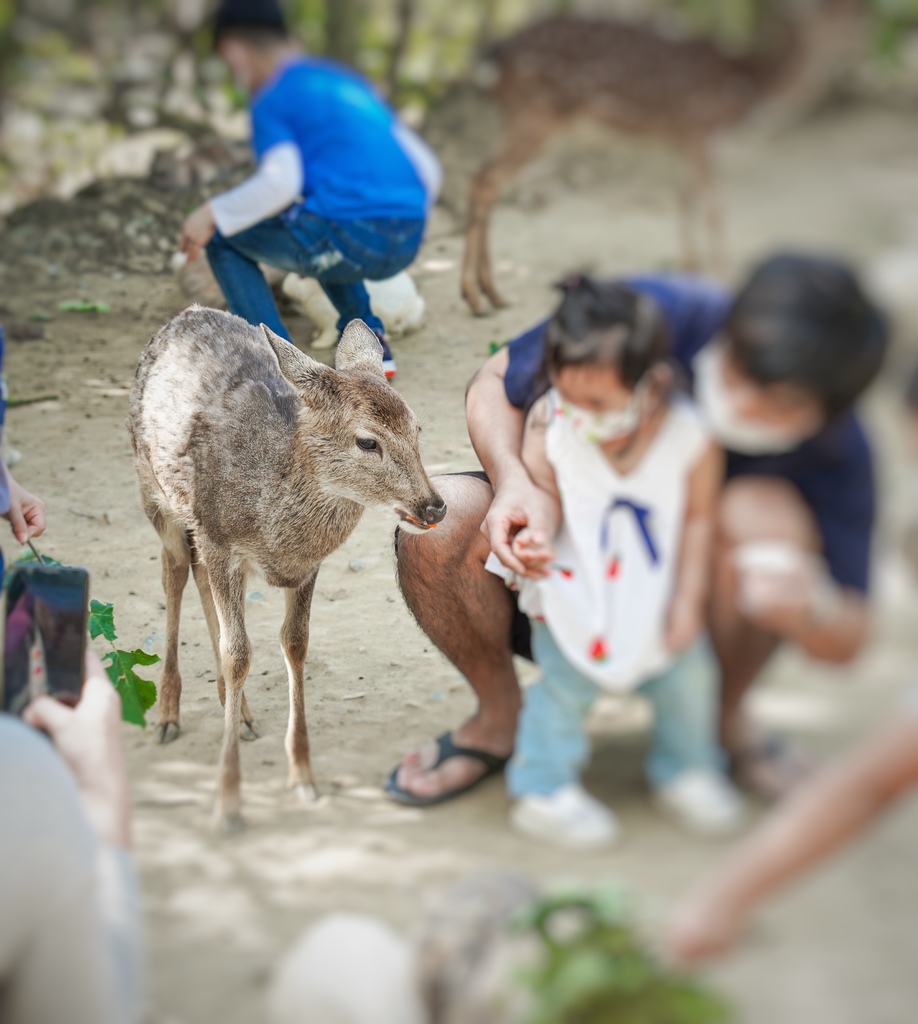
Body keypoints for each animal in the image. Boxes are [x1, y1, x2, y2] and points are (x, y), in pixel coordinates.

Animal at [128, 307, 444, 827]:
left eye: (417, 429)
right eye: (367, 441)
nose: (434, 505)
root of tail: (185, 315)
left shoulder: (305, 566)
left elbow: (294, 644)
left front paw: (303, 775)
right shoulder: (220, 540)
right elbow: (238, 653)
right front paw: (227, 799)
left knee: (196, 576)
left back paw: (240, 712)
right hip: (152, 490)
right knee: (173, 569)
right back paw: (169, 713)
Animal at [463, 0, 864, 313]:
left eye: (856, 12)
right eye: (840, 13)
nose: (865, 36)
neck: (748, 94)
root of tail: (493, 61)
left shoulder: (677, 146)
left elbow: (684, 202)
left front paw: (690, 276)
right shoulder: (701, 135)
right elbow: (714, 211)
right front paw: (727, 284)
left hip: (518, 118)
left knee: (481, 175)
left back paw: (491, 294)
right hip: (539, 116)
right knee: (487, 178)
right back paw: (479, 296)